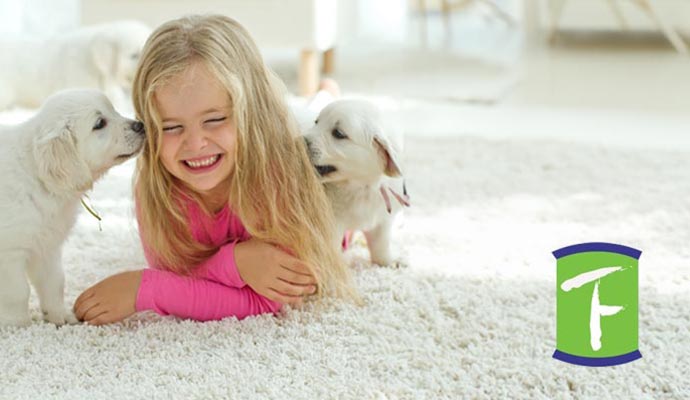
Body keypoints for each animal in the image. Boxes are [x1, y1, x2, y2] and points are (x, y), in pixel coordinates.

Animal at [0, 88, 145, 324]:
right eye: (99, 123)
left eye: (113, 109)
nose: (140, 125)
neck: (39, 177)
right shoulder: (10, 251)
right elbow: (18, 292)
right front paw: (17, 323)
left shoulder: (47, 246)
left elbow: (54, 282)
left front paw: (59, 316)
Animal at [302, 100, 408, 268]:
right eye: (316, 122)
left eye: (338, 133)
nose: (298, 140)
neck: (360, 186)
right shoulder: (332, 221)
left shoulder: (382, 219)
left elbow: (381, 244)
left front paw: (389, 261)